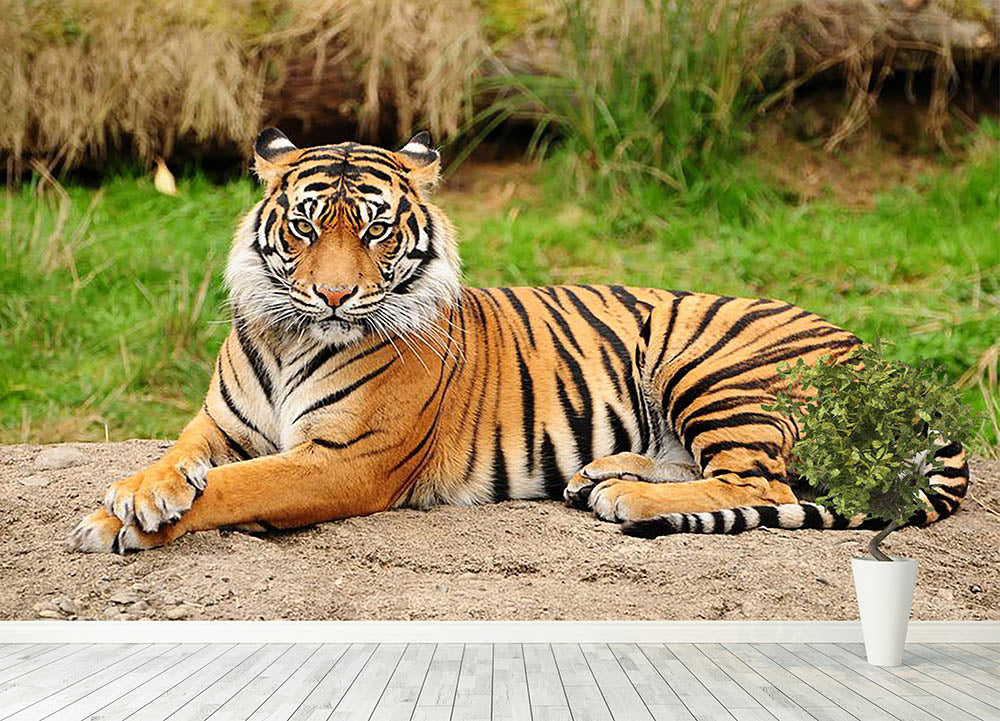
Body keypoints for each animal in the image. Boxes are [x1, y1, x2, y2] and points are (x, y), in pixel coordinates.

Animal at [67, 128, 970, 553]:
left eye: (376, 231)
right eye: (305, 226)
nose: (333, 294)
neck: (292, 336)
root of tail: (896, 371)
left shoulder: (345, 459)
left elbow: (236, 487)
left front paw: (124, 519)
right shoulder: (218, 424)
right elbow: (180, 459)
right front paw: (137, 494)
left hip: (712, 364)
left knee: (759, 480)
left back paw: (624, 497)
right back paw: (604, 471)